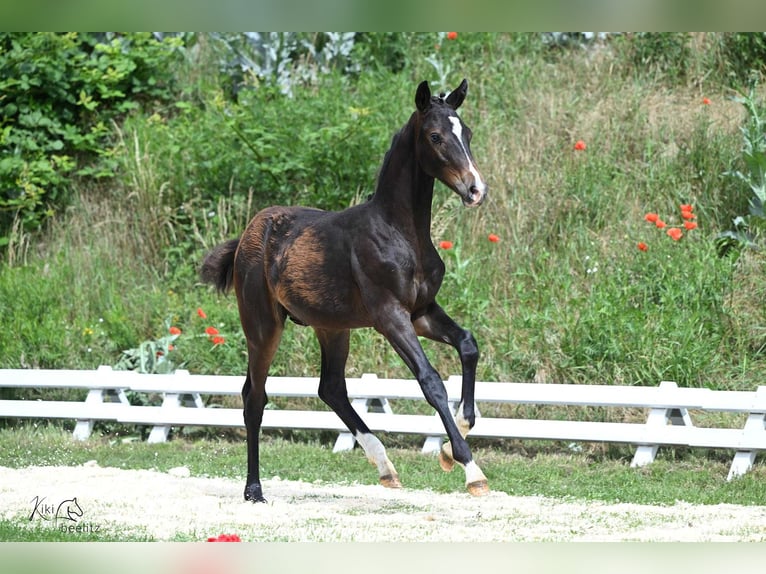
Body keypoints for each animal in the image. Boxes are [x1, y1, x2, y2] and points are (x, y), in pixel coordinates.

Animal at [202, 79, 492, 502]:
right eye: (436, 136)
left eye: (466, 133)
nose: (475, 189)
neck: (399, 232)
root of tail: (248, 234)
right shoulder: (390, 316)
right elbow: (431, 381)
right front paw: (470, 469)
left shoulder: (421, 311)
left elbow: (468, 344)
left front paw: (454, 439)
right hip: (262, 326)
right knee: (254, 396)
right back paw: (254, 490)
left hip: (332, 327)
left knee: (331, 388)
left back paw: (385, 466)